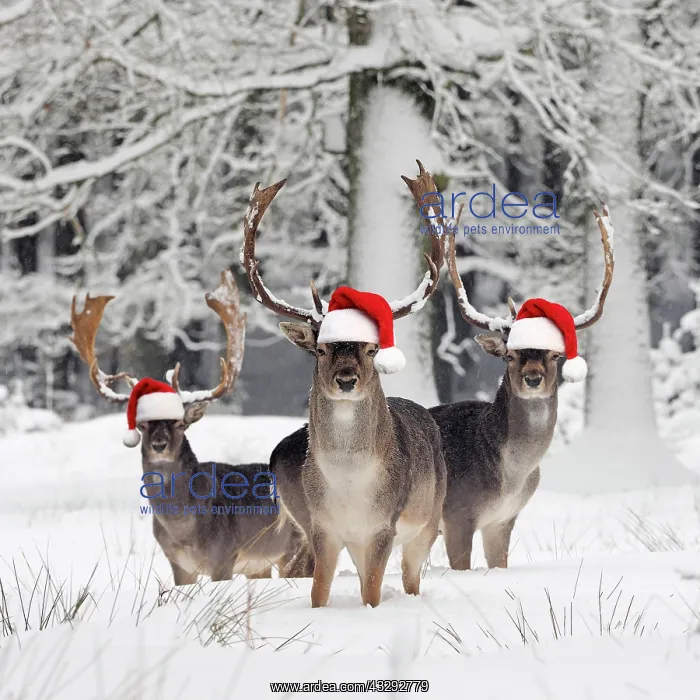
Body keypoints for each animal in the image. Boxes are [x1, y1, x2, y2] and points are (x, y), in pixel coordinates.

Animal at [70, 269, 310, 584]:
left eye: (180, 424)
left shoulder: (224, 556)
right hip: (260, 565)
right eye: (143, 425)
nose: (159, 445)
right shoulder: (178, 565)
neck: (184, 531)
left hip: (294, 550)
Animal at [240, 162, 448, 607]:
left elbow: (372, 592)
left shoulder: (384, 525)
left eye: (371, 348)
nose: (346, 378)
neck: (351, 484)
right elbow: (318, 591)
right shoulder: (324, 526)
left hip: (427, 521)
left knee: (412, 579)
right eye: (320, 349)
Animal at [428, 205, 614, 570]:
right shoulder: (456, 514)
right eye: (510, 354)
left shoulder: (503, 520)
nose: (532, 378)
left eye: (555, 355)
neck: (510, 478)